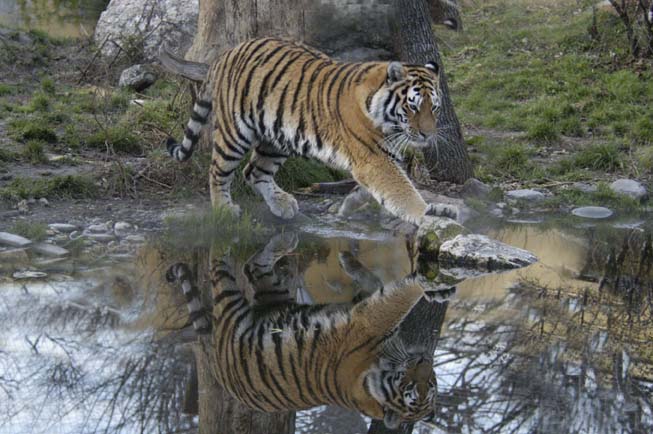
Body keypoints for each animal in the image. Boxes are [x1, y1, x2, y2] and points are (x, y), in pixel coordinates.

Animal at [166, 36, 456, 225]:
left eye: (435, 108)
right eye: (413, 106)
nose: (428, 135)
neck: (388, 120)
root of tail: (228, 52)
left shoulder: (382, 157)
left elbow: (374, 189)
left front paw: (345, 207)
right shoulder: (373, 159)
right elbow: (402, 191)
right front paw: (427, 213)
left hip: (276, 139)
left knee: (253, 171)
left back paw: (282, 204)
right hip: (235, 134)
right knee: (218, 171)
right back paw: (224, 210)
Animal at [167, 236, 454, 428]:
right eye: (424, 384)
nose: (424, 361)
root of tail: (214, 359)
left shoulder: (366, 320)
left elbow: (397, 295)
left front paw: (427, 282)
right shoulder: (367, 315)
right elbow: (382, 285)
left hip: (238, 304)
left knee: (232, 264)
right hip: (276, 296)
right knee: (249, 265)